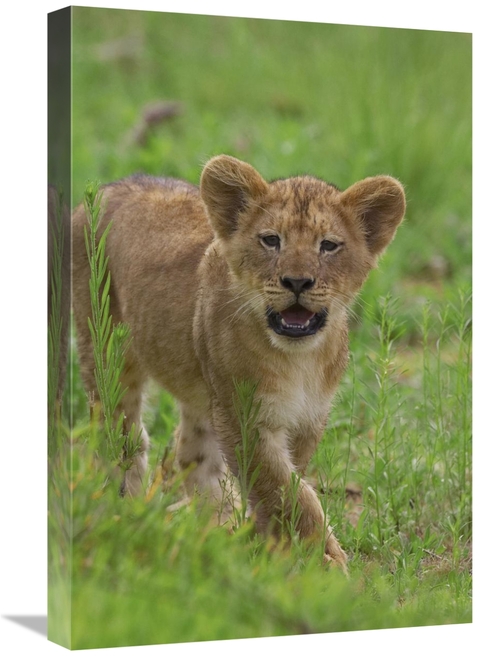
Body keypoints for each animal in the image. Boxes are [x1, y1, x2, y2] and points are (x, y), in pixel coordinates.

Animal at [72, 155, 405, 570]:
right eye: (271, 240)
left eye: (328, 245)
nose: (298, 282)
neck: (299, 358)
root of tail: (110, 187)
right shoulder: (245, 418)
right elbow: (286, 490)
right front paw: (321, 559)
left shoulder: (308, 417)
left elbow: (291, 482)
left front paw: (276, 544)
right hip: (106, 351)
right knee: (121, 434)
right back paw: (126, 509)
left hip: (204, 393)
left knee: (192, 455)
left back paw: (216, 529)